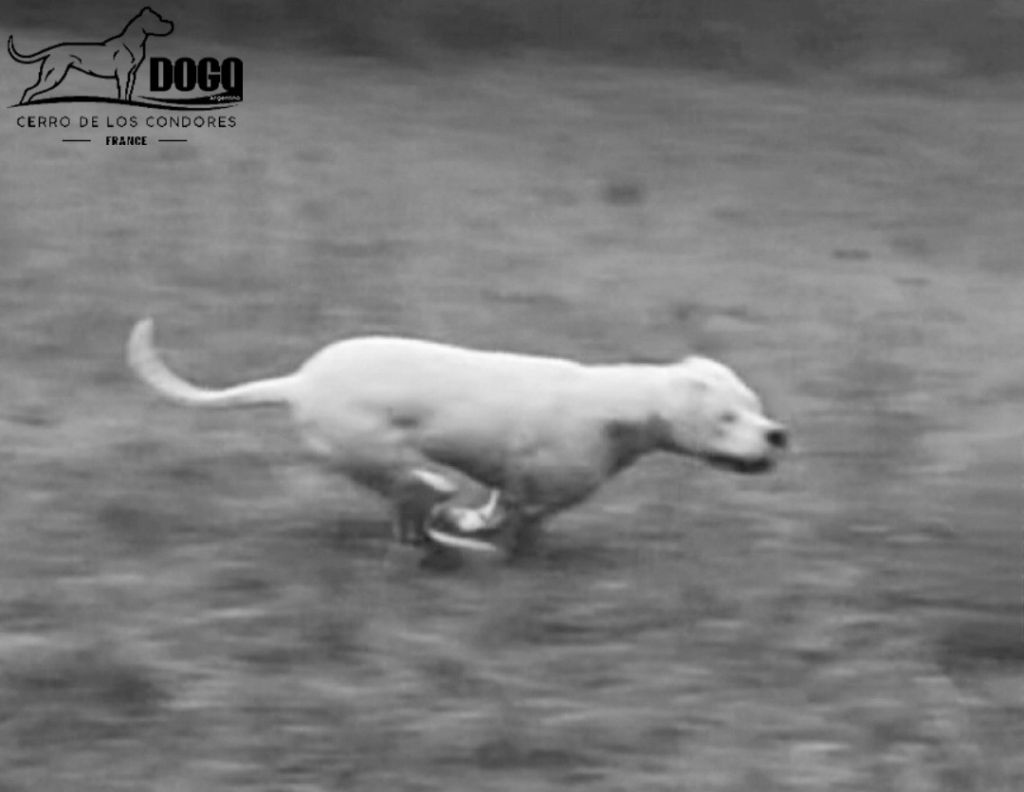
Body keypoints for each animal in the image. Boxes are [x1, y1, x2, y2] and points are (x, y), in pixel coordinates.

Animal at [8, 7, 174, 104]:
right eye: (158, 19)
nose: (172, 24)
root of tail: (52, 49)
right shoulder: (123, 74)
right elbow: (122, 92)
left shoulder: (132, 74)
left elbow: (128, 92)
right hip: (53, 75)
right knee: (29, 90)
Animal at [127, 318, 787, 560]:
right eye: (729, 417)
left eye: (756, 408)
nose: (778, 435)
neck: (620, 408)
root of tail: (298, 382)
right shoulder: (536, 491)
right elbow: (512, 522)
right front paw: (484, 536)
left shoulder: (520, 489)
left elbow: (510, 518)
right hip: (372, 450)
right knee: (414, 489)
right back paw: (442, 511)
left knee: (408, 518)